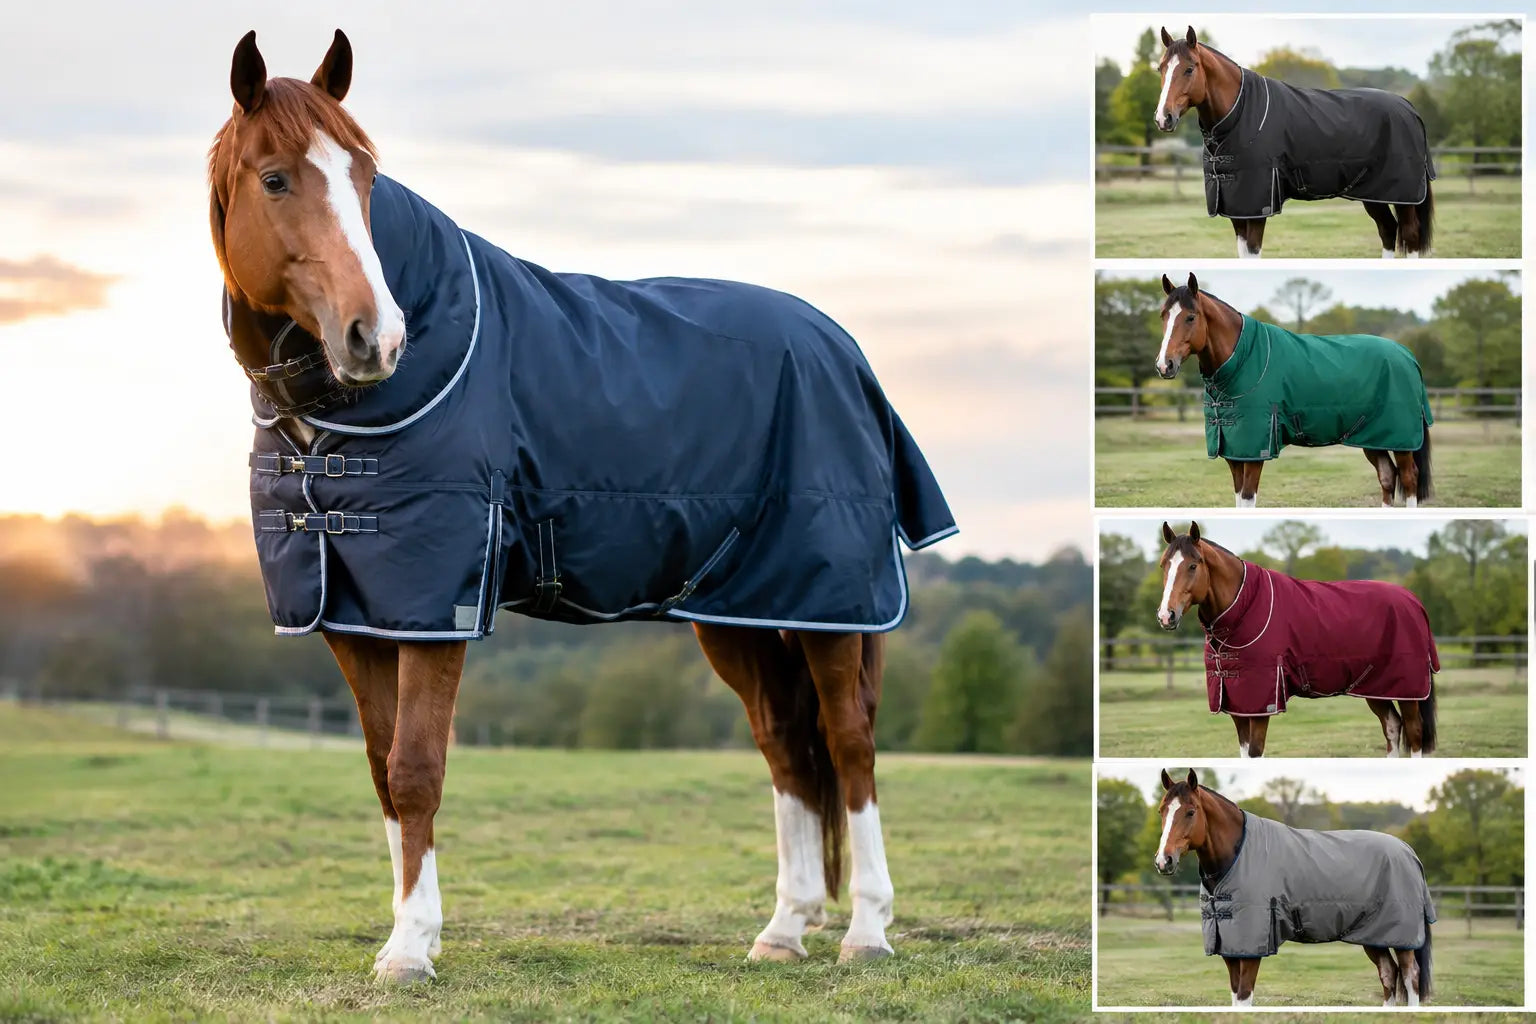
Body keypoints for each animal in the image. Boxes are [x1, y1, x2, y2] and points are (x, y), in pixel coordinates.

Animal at [208, 30, 957, 982]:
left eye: (368, 176)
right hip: (739, 610)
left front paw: (411, 950)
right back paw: (783, 930)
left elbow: (416, 768)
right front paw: (409, 932)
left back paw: (865, 931)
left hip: (830, 603)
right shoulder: (357, 614)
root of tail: (843, 349)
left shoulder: (440, 607)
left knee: (850, 740)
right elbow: (382, 770)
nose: (375, 338)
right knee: (788, 743)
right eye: (275, 179)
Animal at [1154, 26, 1435, 259]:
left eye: (1189, 68)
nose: (1163, 118)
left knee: (1409, 235)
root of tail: (1409, 107)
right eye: (1161, 69)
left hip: (1404, 195)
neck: (1241, 113)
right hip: (1373, 192)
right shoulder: (1237, 209)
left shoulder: (1257, 208)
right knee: (1387, 230)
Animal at [1154, 522, 1438, 758]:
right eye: (1164, 565)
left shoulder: (1262, 704)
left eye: (1193, 565)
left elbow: (1255, 753)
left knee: (1414, 733)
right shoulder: (1238, 705)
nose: (1166, 615)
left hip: (1408, 689)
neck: (1244, 608)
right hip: (1376, 688)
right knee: (1392, 727)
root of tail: (1414, 601)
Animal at [1155, 273, 1434, 509]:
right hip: (1372, 438)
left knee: (1408, 478)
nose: (1164, 365)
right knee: (1387, 477)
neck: (1243, 360)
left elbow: (1247, 499)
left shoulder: (1256, 453)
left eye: (1191, 317)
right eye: (1163, 316)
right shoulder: (1234, 453)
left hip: (1401, 440)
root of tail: (1407, 355)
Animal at [1155, 768, 1435, 1007]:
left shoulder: (1251, 949)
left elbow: (1244, 997)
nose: (1163, 860)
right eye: (1161, 811)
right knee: (1388, 973)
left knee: (1410, 976)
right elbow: (1235, 996)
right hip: (1374, 936)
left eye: (1191, 812)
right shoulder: (1230, 947)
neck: (1237, 855)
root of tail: (1408, 851)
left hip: (1402, 937)